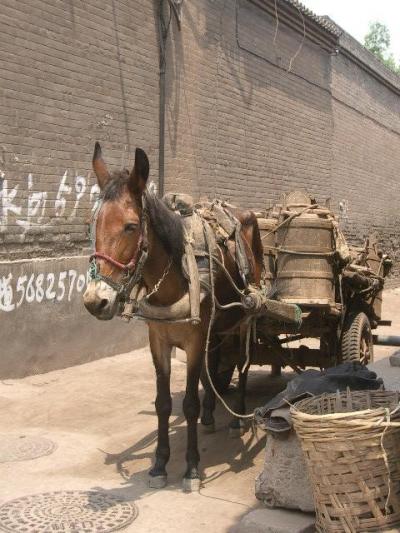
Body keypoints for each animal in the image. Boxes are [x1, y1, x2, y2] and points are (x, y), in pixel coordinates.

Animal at [83, 141, 266, 490]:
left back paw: (236, 417)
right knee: (214, 364)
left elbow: (188, 403)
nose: (95, 301)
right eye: (93, 224)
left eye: (131, 226)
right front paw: (159, 465)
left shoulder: (194, 341)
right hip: (216, 328)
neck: (173, 280)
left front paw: (191, 467)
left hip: (244, 318)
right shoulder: (158, 340)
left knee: (241, 363)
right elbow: (163, 403)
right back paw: (211, 413)